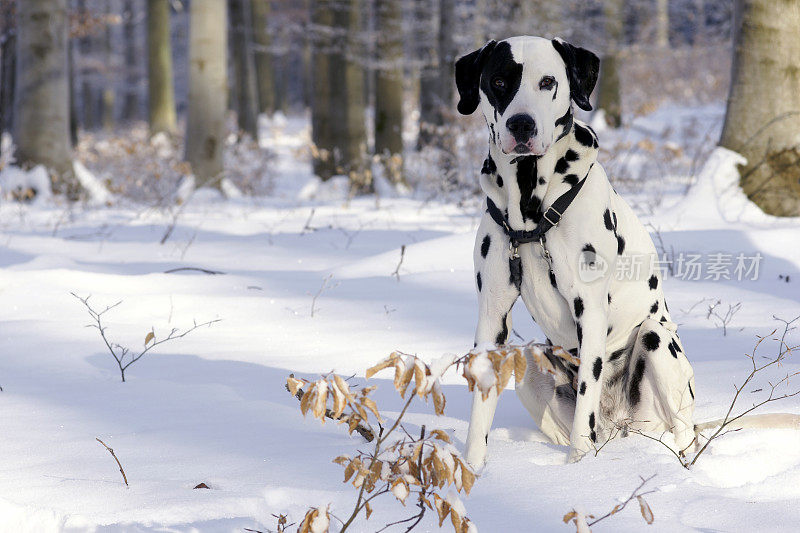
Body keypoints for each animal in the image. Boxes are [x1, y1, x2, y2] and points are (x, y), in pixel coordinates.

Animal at [460, 35, 696, 466]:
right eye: (499, 81)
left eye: (548, 81)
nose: (521, 124)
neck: (531, 210)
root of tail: (619, 426)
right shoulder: (492, 314)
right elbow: (480, 412)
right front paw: (472, 470)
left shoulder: (590, 310)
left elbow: (585, 404)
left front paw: (578, 470)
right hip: (530, 359)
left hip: (657, 341)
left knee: (683, 432)